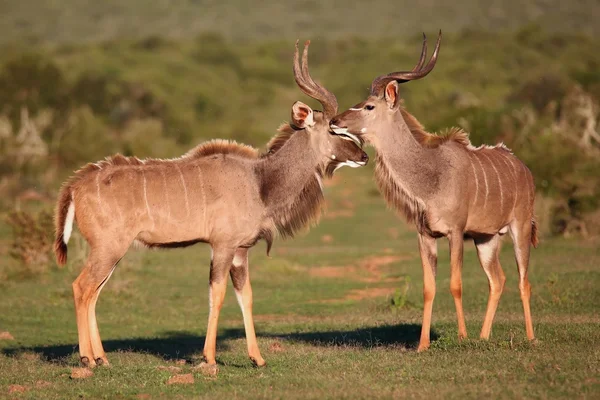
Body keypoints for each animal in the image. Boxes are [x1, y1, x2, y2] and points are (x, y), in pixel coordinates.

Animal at [54, 40, 368, 368]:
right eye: (334, 128)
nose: (363, 156)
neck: (260, 181)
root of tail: (75, 186)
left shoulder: (241, 251)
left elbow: (246, 296)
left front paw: (257, 359)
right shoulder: (223, 246)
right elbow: (216, 295)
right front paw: (210, 359)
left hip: (111, 253)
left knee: (93, 292)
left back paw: (102, 358)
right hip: (109, 248)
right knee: (81, 287)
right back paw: (87, 359)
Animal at [330, 31, 536, 350]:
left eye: (368, 106)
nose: (334, 122)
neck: (432, 178)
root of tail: (524, 170)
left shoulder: (455, 232)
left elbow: (455, 283)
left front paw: (462, 336)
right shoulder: (425, 235)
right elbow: (429, 287)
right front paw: (423, 344)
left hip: (520, 227)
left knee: (523, 280)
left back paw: (530, 338)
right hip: (486, 239)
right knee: (497, 280)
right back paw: (484, 336)